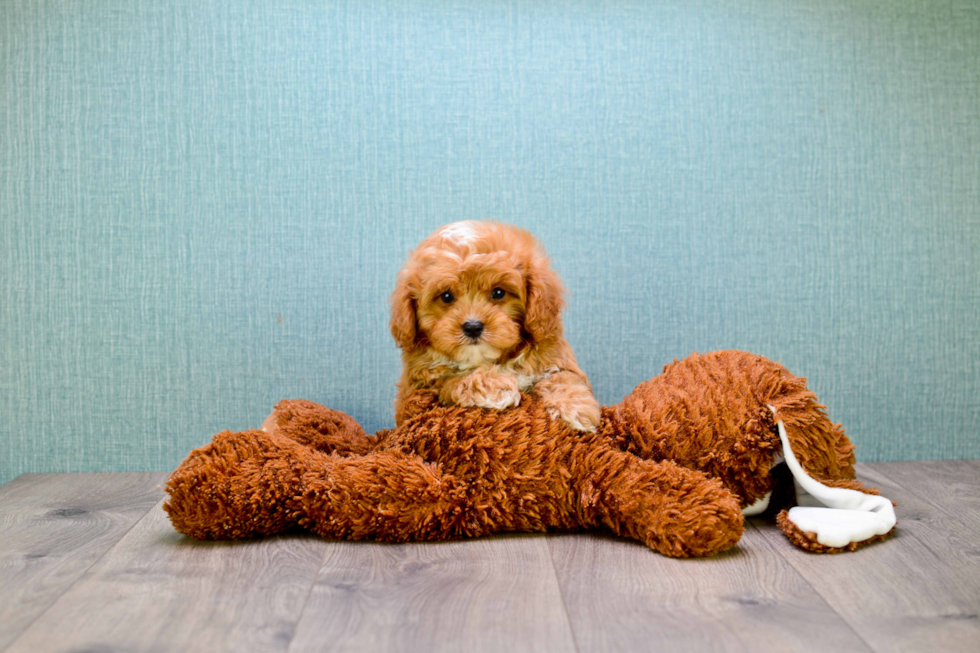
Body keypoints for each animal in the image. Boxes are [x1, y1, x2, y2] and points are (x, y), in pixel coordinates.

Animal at [388, 222, 600, 430]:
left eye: (498, 293)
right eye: (446, 296)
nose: (473, 327)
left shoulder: (555, 356)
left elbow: (564, 377)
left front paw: (576, 407)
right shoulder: (414, 390)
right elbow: (451, 379)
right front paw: (495, 387)